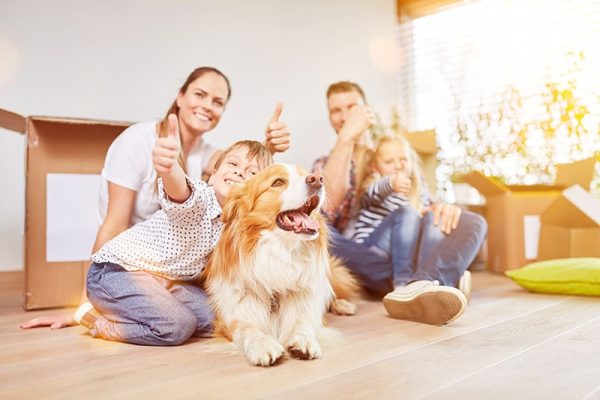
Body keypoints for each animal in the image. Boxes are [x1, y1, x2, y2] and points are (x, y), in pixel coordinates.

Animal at [204, 162, 358, 366]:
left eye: (305, 174)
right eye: (277, 182)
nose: (317, 178)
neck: (281, 255)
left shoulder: (306, 301)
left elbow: (304, 321)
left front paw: (303, 340)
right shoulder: (232, 315)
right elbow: (247, 328)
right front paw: (263, 345)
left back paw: (344, 305)